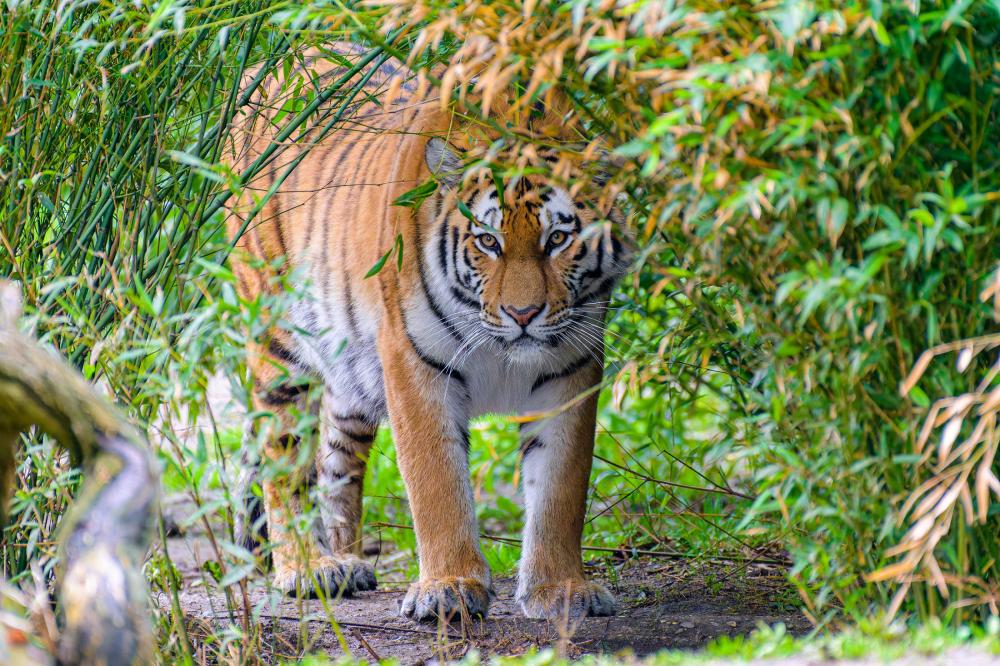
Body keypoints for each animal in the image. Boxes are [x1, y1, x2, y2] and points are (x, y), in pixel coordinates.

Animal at [225, 45, 630, 621]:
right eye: (488, 241)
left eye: (557, 239)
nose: (523, 313)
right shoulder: (413, 362)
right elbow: (435, 480)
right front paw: (449, 587)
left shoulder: (570, 368)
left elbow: (560, 487)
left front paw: (561, 589)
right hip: (279, 339)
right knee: (285, 462)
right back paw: (308, 569)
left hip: (350, 370)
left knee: (335, 457)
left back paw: (348, 561)